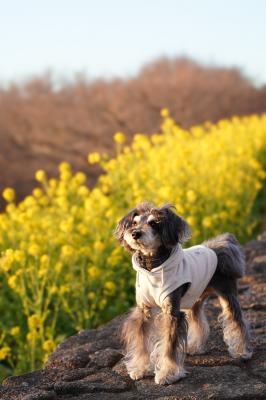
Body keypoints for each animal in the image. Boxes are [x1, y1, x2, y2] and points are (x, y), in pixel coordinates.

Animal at [115, 203, 252, 384]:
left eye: (153, 223)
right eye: (134, 223)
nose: (135, 233)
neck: (152, 267)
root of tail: (220, 246)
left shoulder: (172, 312)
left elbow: (169, 346)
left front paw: (167, 374)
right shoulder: (144, 311)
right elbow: (141, 342)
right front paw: (139, 369)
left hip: (227, 294)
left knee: (237, 321)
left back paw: (242, 351)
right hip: (195, 296)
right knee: (197, 318)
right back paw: (194, 347)